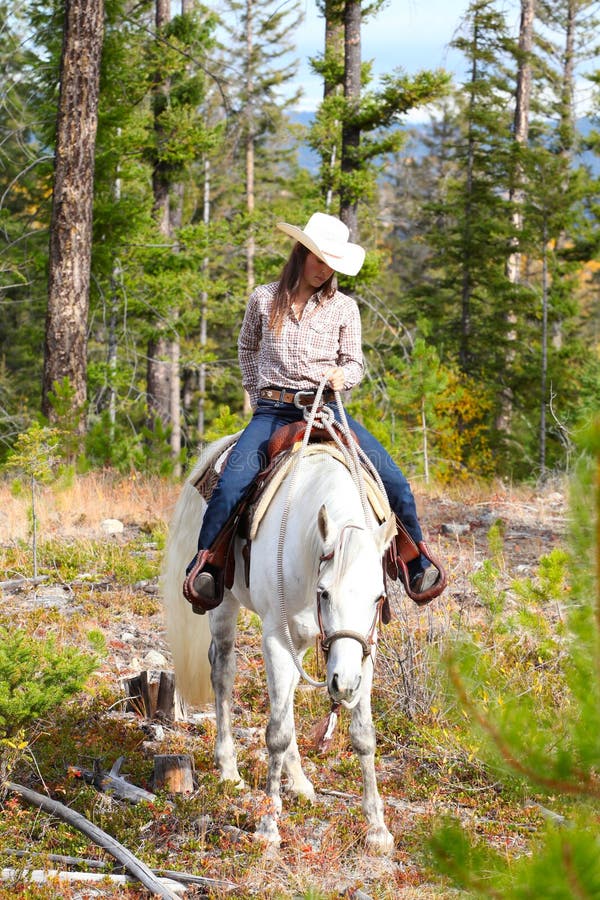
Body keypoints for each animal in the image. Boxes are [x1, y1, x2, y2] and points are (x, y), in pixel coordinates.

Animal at [163, 434, 398, 852]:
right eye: (324, 593)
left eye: (378, 598)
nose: (344, 683)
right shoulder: (274, 636)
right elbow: (276, 733)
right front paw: (269, 827)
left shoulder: (364, 650)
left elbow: (362, 735)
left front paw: (377, 828)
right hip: (225, 608)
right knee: (223, 673)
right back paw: (229, 771)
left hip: (299, 643)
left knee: (285, 700)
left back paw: (300, 783)